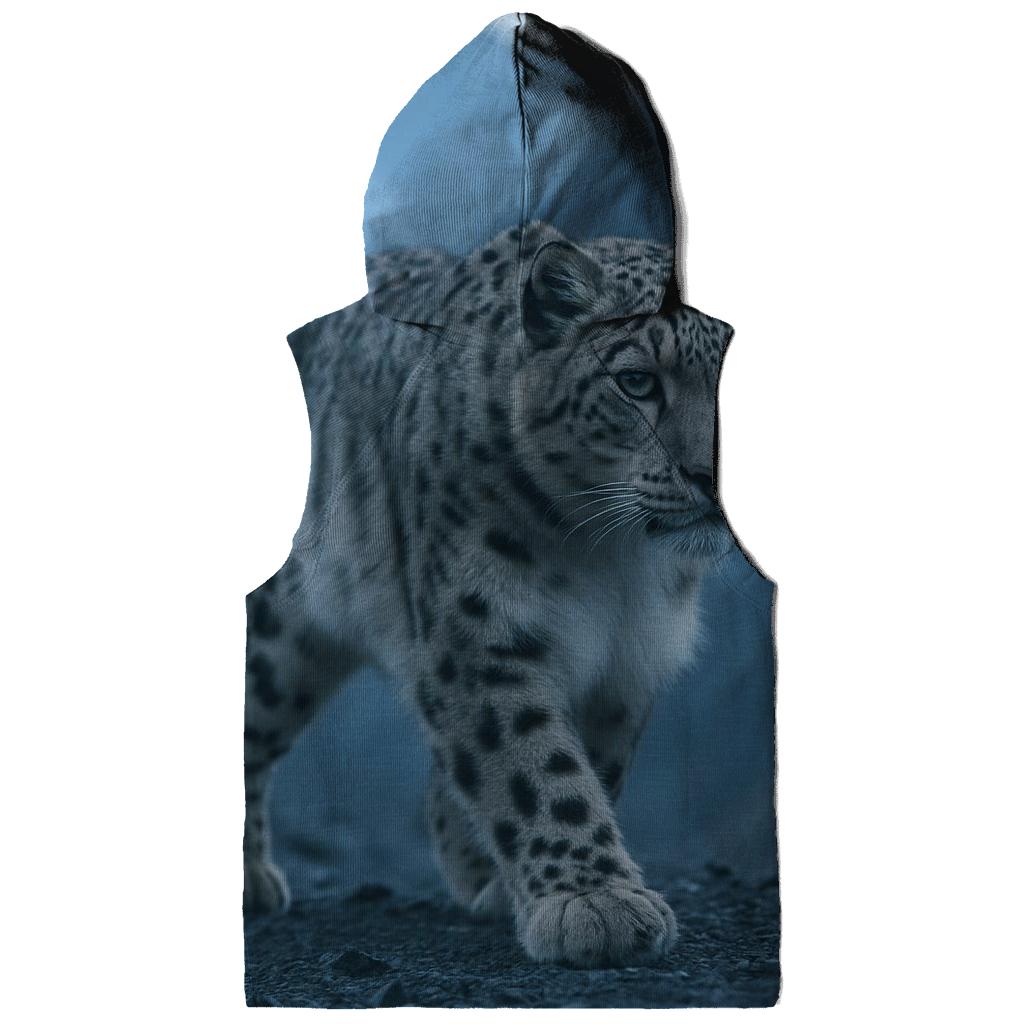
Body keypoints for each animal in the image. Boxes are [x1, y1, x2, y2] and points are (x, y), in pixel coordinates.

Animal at [243, 219, 735, 967]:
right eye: (636, 382)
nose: (711, 475)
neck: (618, 565)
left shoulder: (626, 660)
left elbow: (584, 762)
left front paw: (528, 889)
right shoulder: (479, 629)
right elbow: (533, 765)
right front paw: (593, 903)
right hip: (277, 638)